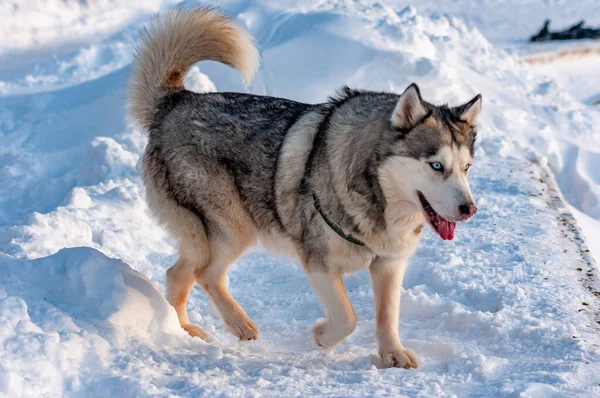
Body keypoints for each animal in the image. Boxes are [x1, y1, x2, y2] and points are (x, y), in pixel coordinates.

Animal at [129, 6, 480, 368]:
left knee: (183, 274)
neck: (376, 197)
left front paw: (391, 354)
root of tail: (175, 101)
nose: (469, 209)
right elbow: (348, 317)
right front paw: (323, 336)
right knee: (200, 274)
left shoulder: (389, 263)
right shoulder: (318, 261)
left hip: (217, 235)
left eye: (466, 167)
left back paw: (196, 329)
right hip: (228, 227)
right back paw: (226, 326)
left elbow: (387, 315)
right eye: (436, 165)